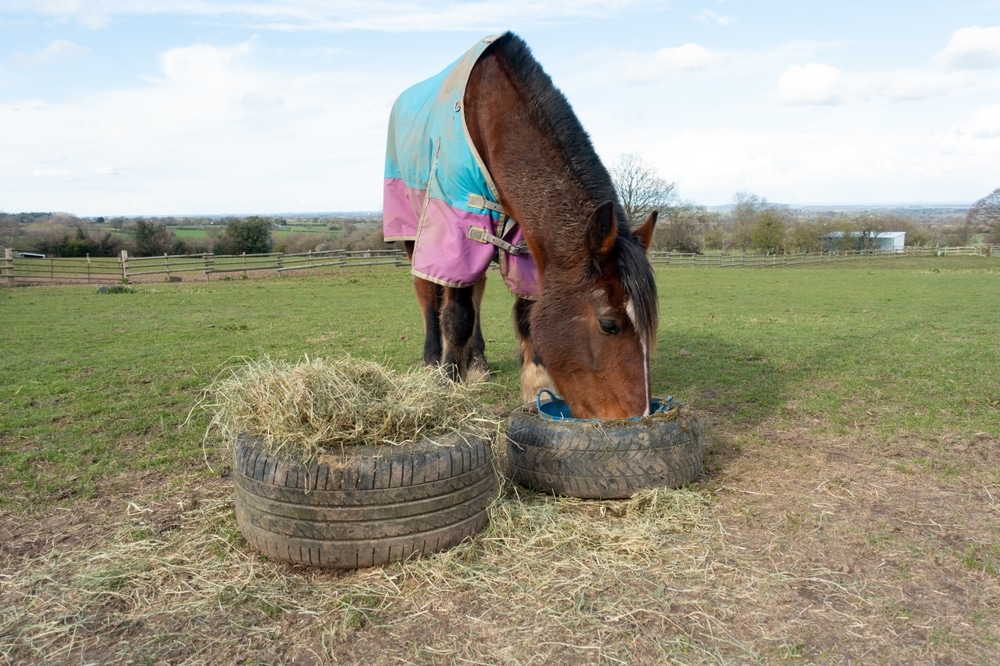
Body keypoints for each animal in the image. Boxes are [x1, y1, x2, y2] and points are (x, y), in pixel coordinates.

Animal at [382, 33, 656, 418]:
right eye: (609, 325)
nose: (639, 415)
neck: (495, 115)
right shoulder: (455, 227)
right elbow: (456, 314)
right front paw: (448, 382)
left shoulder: (526, 240)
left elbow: (525, 309)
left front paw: (537, 383)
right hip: (414, 230)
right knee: (429, 295)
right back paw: (434, 361)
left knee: (476, 293)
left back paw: (477, 363)